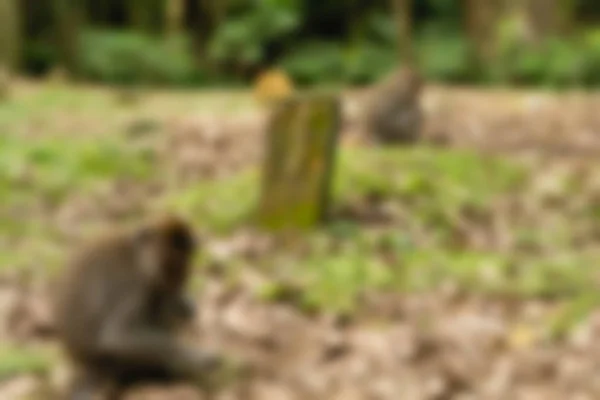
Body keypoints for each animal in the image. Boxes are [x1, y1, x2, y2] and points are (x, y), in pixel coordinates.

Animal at [51, 216, 224, 400]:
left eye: (180, 272)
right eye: (168, 268)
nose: (173, 287)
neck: (138, 255)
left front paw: (185, 304)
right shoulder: (137, 285)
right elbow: (118, 337)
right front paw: (198, 358)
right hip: (118, 364)